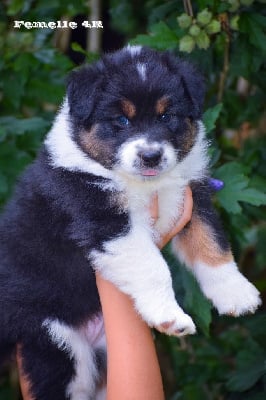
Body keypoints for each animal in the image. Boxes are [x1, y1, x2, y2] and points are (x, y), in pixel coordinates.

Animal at [0, 47, 262, 400]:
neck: (147, 185)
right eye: (121, 120)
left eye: (166, 116)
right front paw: (170, 317)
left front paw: (237, 294)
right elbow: (153, 268)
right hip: (55, 339)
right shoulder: (104, 218)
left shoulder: (192, 196)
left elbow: (212, 244)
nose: (151, 156)